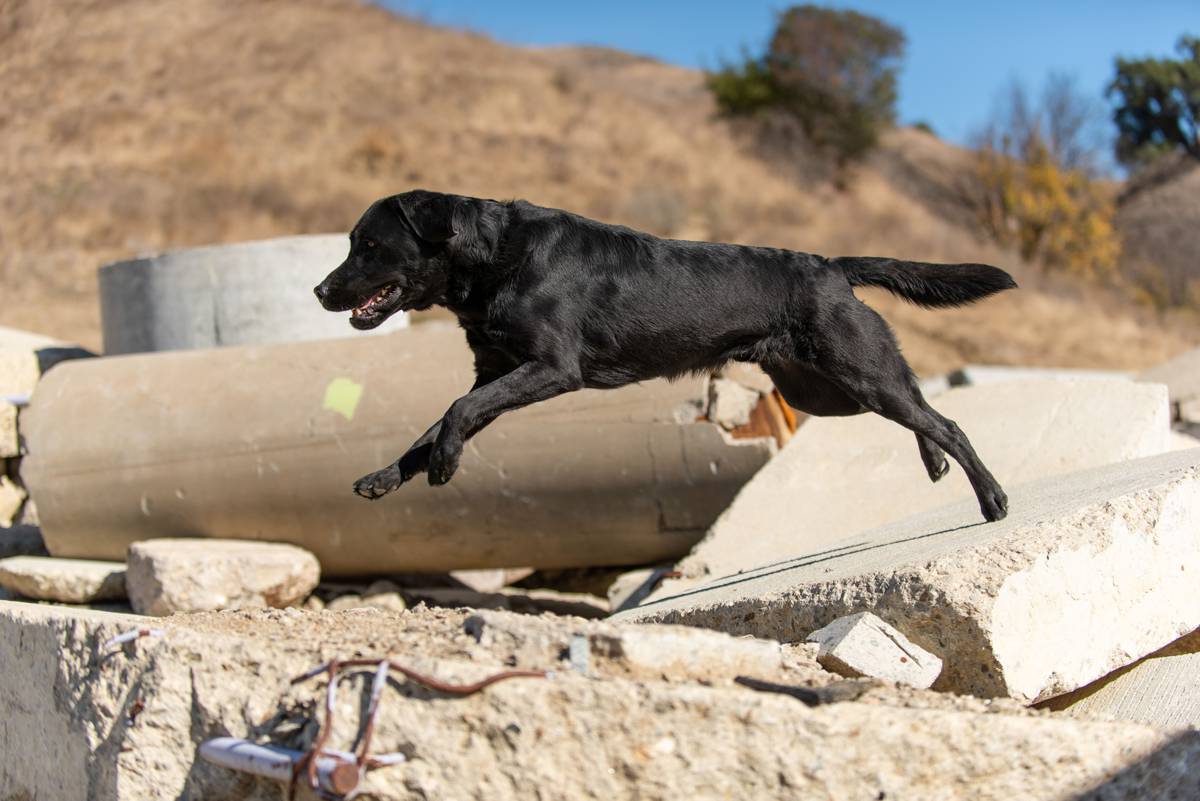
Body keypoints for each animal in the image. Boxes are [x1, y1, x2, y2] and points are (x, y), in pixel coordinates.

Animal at [314, 190, 1017, 522]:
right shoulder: (499, 372)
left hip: (855, 369)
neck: (493, 258)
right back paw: (933, 462)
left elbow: (456, 414)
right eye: (349, 242)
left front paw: (444, 466)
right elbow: (435, 423)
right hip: (822, 391)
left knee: (944, 419)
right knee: (922, 411)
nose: (320, 290)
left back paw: (991, 498)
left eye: (368, 245)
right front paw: (386, 475)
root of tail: (829, 265)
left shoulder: (550, 369)